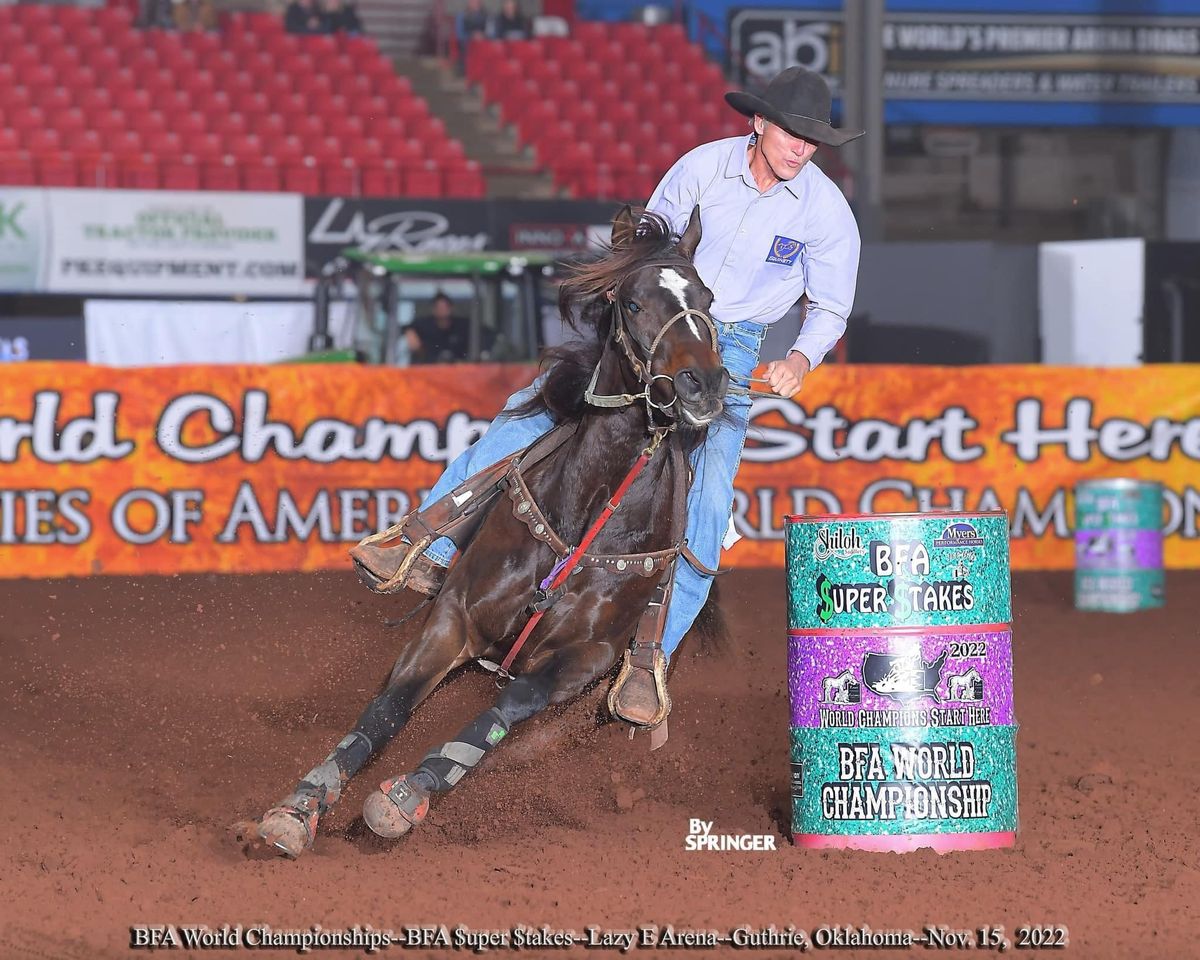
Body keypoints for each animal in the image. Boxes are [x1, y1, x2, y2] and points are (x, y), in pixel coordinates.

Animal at [248, 206, 724, 859]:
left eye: (708, 298)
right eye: (632, 303)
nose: (704, 383)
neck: (588, 512)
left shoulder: (584, 659)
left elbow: (506, 709)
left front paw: (405, 797)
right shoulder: (455, 616)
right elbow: (388, 707)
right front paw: (299, 807)